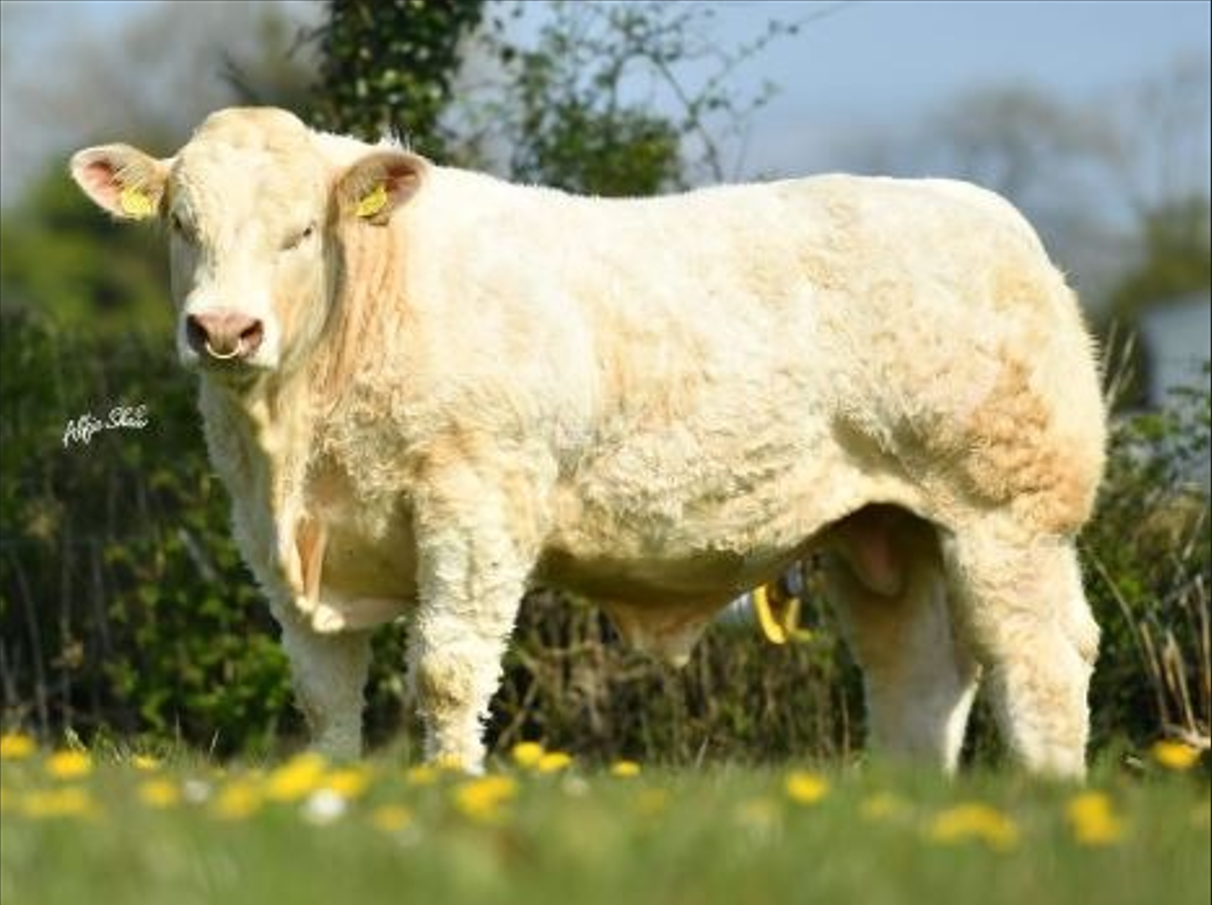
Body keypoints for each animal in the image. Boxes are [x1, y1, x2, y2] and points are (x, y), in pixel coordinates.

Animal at [71, 106, 1106, 777]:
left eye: (300, 230)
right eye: (181, 223)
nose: (224, 329)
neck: (298, 449)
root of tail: (994, 219)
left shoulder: (477, 503)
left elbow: (448, 671)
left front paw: (447, 800)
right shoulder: (275, 541)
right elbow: (325, 692)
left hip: (1007, 515)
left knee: (1041, 662)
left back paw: (1047, 805)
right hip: (885, 530)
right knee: (918, 675)